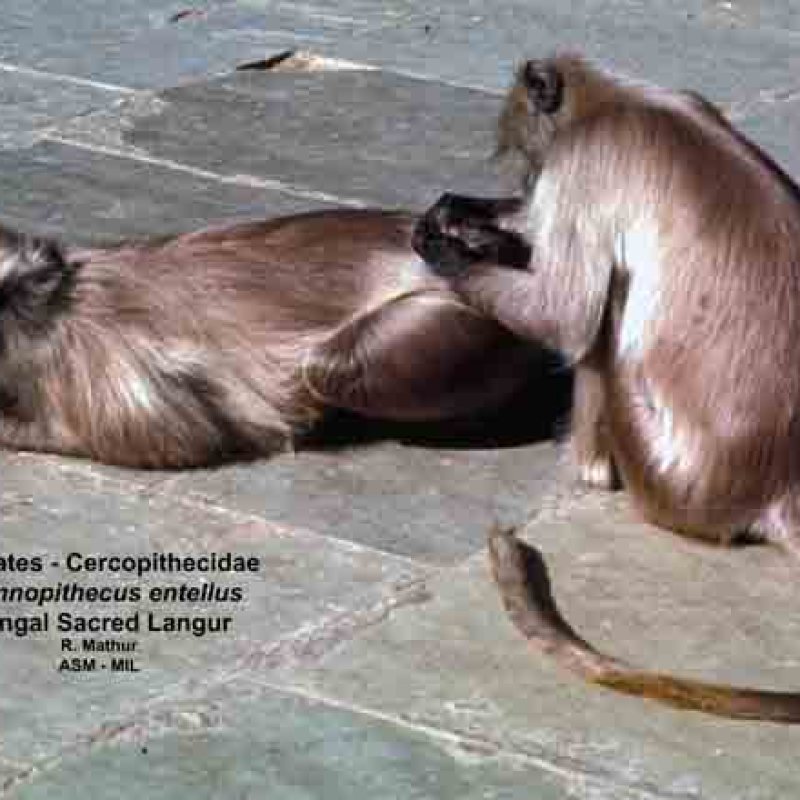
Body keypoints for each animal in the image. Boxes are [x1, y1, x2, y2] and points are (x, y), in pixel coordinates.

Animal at [413, 53, 800, 723]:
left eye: (533, 161)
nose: (527, 183)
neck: (617, 99)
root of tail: (777, 481)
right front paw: (470, 216)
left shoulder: (584, 163)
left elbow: (565, 317)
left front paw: (448, 246)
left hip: (665, 475)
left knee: (604, 314)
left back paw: (590, 470)